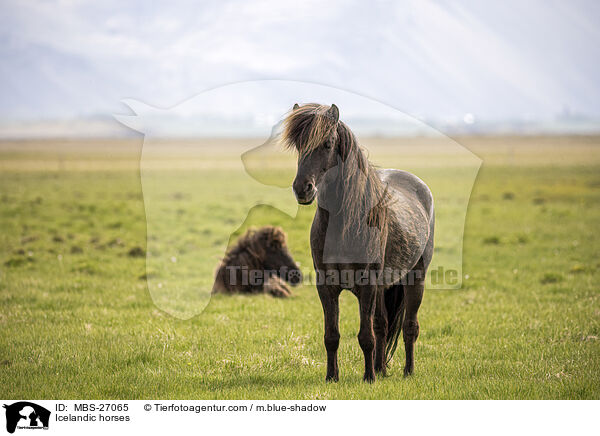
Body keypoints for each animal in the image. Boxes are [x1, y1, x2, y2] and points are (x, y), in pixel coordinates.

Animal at [284, 103, 434, 382]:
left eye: (327, 144)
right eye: (299, 145)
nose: (302, 189)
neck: (343, 225)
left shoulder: (367, 285)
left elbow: (366, 336)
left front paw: (368, 378)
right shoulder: (326, 286)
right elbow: (332, 336)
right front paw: (332, 377)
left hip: (415, 277)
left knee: (409, 327)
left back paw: (407, 372)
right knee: (383, 325)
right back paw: (381, 369)